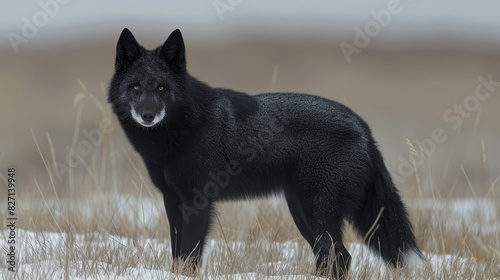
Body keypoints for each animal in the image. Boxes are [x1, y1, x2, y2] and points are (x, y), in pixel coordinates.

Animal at [108, 28, 422, 278]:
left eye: (162, 88)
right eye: (135, 88)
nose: (148, 115)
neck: (183, 129)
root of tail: (364, 128)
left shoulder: (197, 203)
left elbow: (189, 255)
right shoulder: (173, 201)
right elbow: (177, 255)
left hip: (317, 211)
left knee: (340, 256)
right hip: (302, 212)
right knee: (331, 257)